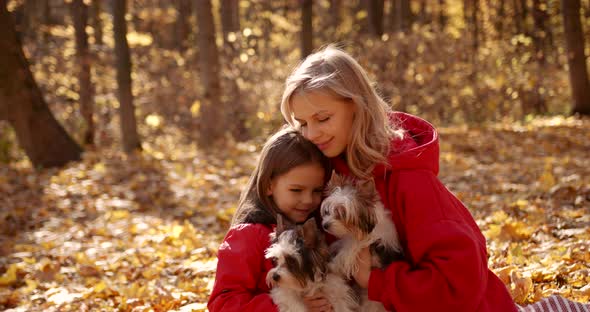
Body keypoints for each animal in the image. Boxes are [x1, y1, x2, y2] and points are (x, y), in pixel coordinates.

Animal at [322, 173, 404, 312]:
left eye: (342, 214)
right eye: (328, 211)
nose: (325, 225)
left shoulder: (364, 242)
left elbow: (347, 252)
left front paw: (333, 265)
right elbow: (342, 243)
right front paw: (333, 247)